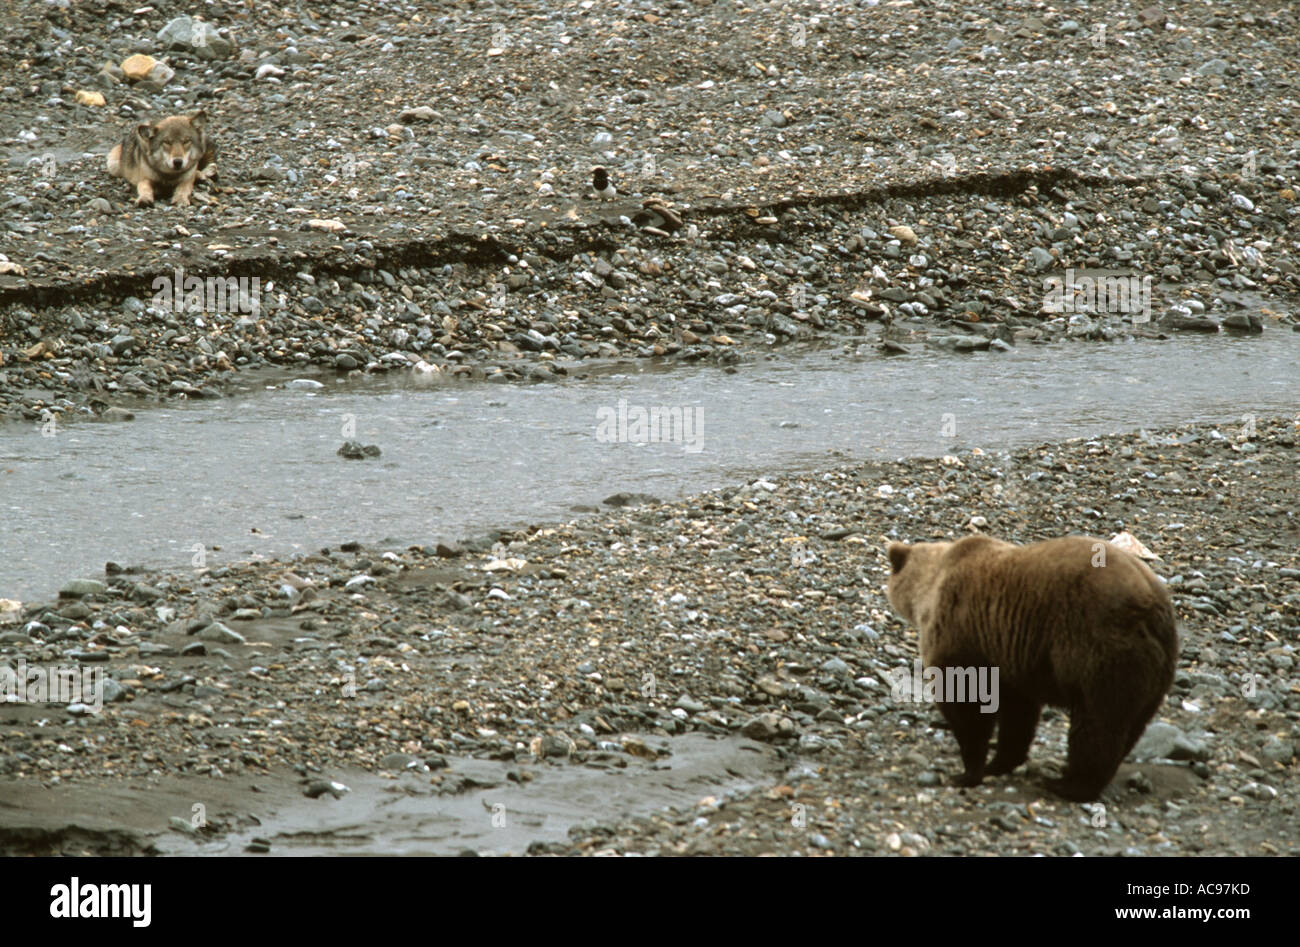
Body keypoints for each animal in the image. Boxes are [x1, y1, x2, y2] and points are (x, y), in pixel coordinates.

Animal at [883, 533, 1180, 801]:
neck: (929, 586)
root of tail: (1153, 606)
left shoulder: (961, 634)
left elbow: (967, 703)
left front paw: (968, 772)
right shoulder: (1011, 656)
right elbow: (1017, 714)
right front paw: (999, 762)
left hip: (1098, 650)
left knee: (1097, 725)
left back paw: (1067, 785)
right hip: (1156, 672)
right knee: (1131, 726)